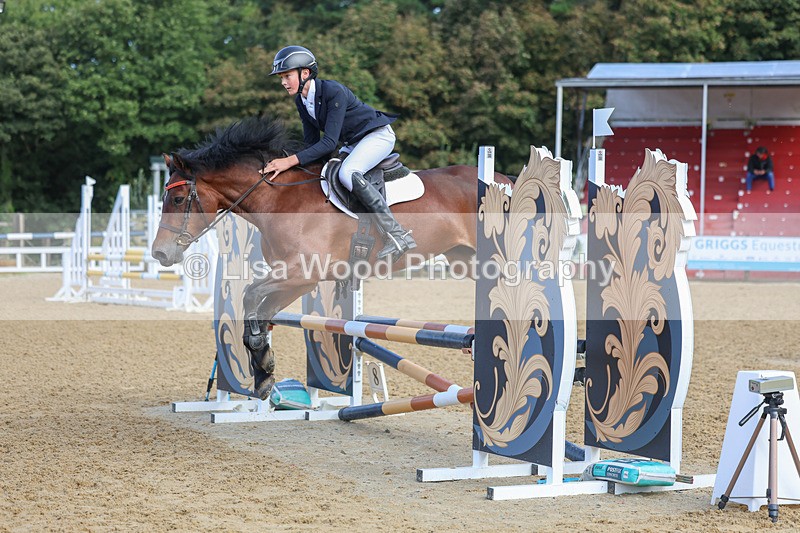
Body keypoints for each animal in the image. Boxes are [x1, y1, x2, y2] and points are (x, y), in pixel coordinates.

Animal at [152, 116, 508, 399]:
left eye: (179, 198)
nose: (160, 252)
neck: (280, 199)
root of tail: (505, 181)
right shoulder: (296, 280)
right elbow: (259, 310)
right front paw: (264, 372)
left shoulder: (301, 272)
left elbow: (250, 294)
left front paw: (262, 365)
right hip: (466, 259)